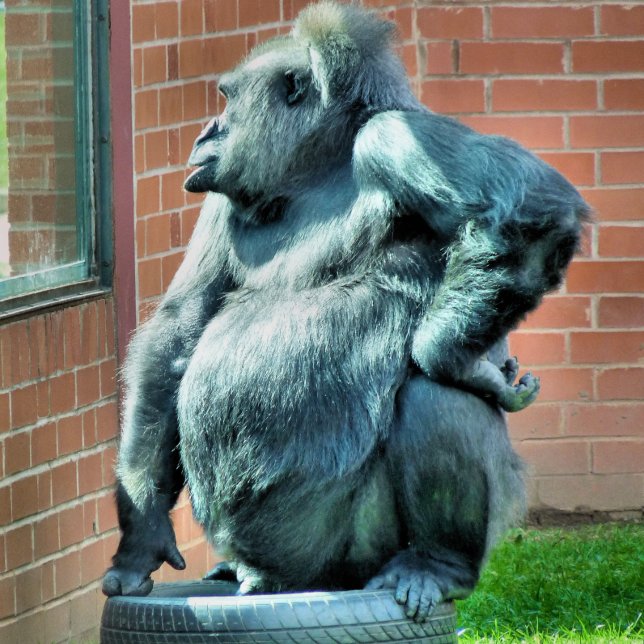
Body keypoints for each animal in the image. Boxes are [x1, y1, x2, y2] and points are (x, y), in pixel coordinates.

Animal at [103, 2, 589, 622]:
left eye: (227, 99)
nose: (207, 131)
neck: (317, 168)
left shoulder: (397, 138)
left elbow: (533, 211)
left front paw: (456, 359)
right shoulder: (221, 194)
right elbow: (179, 332)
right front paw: (141, 531)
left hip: (352, 556)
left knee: (432, 396)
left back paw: (438, 563)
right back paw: (236, 568)